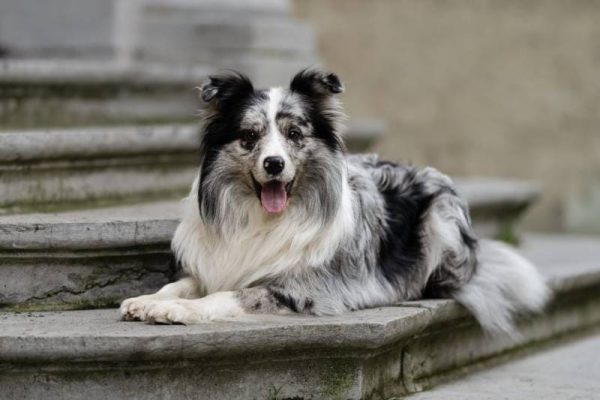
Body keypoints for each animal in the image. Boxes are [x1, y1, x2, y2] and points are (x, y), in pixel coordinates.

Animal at [119, 69, 552, 334]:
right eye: (249, 136)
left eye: (295, 134)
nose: (274, 164)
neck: (263, 218)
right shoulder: (213, 264)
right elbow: (182, 284)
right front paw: (149, 300)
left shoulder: (301, 288)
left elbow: (227, 295)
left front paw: (180, 311)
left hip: (441, 219)